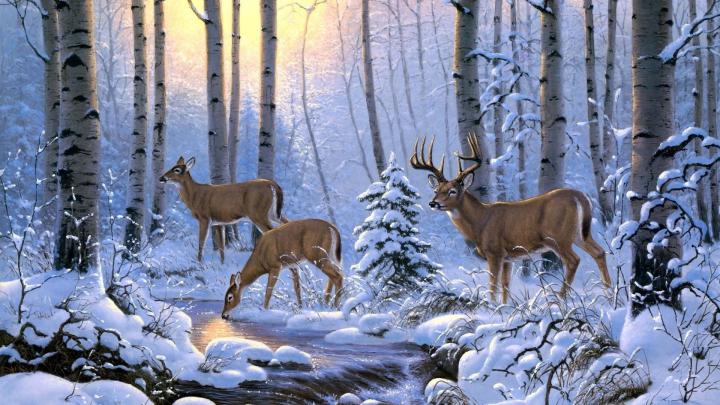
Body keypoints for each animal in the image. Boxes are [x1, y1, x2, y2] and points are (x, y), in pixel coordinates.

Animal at [159, 156, 287, 264]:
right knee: (286, 224)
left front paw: (199, 263)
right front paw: (222, 263)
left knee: (272, 231)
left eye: (177, 170)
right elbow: (221, 246)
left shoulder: (204, 218)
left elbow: (201, 242)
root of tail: (273, 184)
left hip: (258, 213)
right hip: (273, 213)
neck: (195, 195)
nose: (161, 178)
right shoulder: (218, 222)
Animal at [410, 136, 611, 304]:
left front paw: (491, 307)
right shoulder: (508, 256)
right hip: (580, 234)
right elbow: (505, 285)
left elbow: (493, 284)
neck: (481, 222)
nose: (433, 203)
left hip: (558, 237)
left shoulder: (495, 252)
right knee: (599, 252)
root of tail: (581, 197)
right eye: (436, 190)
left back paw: (560, 298)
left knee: (573, 261)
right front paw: (504, 307)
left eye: (452, 191)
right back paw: (608, 292)